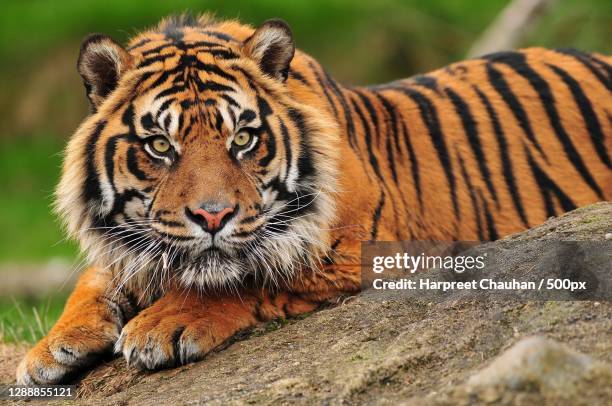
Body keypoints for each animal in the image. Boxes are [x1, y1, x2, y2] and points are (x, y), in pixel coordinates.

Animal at [16, 14, 608, 386]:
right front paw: (49, 350)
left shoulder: (367, 252)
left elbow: (250, 275)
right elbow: (97, 278)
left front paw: (164, 325)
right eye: (160, 145)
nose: (213, 216)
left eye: (243, 139)